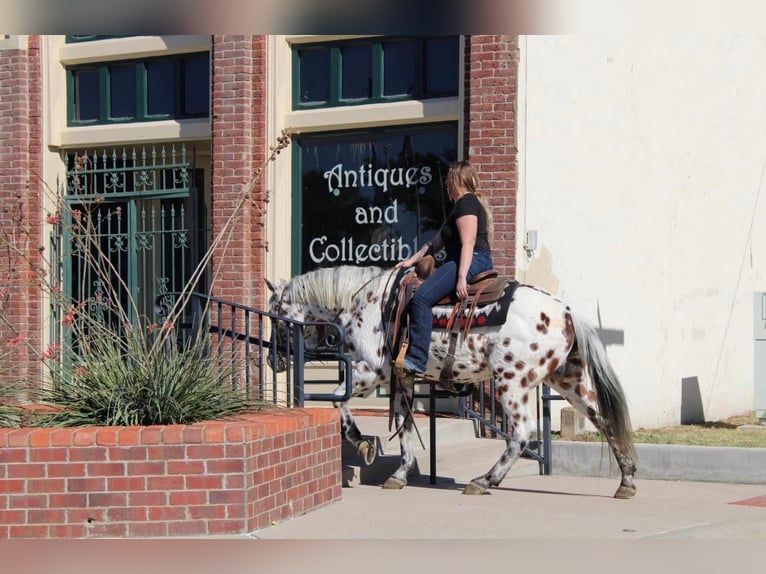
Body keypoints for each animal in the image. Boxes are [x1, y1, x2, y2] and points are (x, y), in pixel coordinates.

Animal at [268, 266, 640, 500]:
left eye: (275, 316)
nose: (273, 361)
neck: (365, 302)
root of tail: (565, 311)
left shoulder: (372, 370)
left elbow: (336, 399)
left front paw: (362, 444)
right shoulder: (402, 379)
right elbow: (405, 426)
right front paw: (399, 474)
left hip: (512, 382)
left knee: (521, 434)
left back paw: (484, 480)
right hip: (567, 380)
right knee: (605, 421)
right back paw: (627, 481)